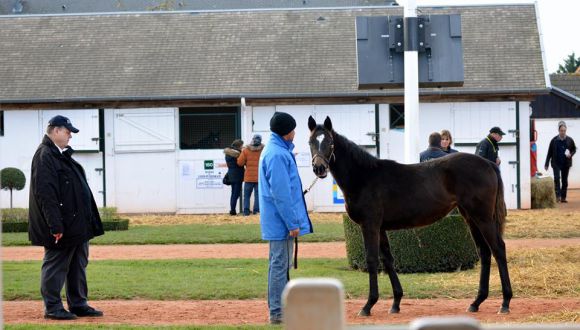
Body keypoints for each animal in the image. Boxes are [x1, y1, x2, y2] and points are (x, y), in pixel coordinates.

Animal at [308, 116, 512, 318]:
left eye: (330, 142)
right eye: (311, 141)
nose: (319, 168)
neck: (364, 177)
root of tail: (488, 164)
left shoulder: (369, 225)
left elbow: (372, 260)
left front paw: (368, 305)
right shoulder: (380, 228)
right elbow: (388, 260)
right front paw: (396, 303)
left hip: (483, 217)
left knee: (498, 249)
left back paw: (505, 302)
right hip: (470, 218)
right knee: (484, 252)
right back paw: (476, 302)